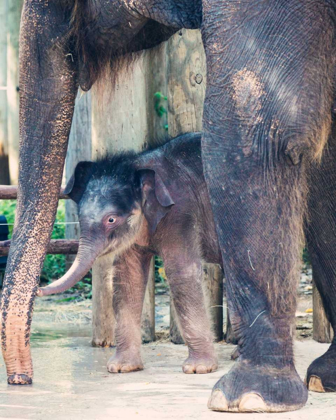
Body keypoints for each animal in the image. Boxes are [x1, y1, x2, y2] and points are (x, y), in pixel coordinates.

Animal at [38, 134, 222, 374]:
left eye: (111, 219)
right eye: (79, 217)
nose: (38, 289)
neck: (137, 166)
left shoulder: (181, 213)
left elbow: (182, 273)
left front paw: (198, 369)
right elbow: (128, 276)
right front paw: (121, 368)